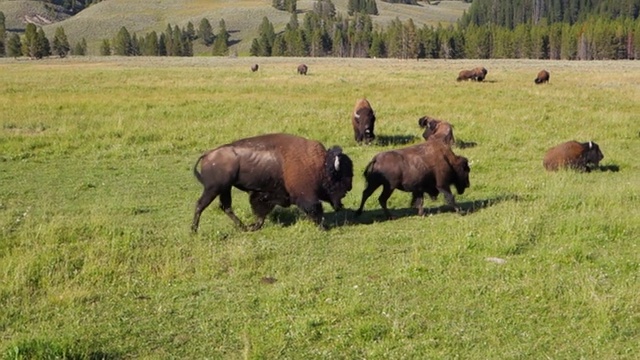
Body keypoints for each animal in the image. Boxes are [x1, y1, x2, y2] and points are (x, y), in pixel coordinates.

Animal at [191, 134, 356, 232]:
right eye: (341, 176)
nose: (350, 187)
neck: (321, 164)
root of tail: (208, 155)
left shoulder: (266, 195)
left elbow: (261, 212)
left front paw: (255, 226)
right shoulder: (305, 195)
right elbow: (315, 208)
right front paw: (324, 227)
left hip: (225, 188)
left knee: (226, 207)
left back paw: (244, 227)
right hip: (213, 188)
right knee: (201, 205)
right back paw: (194, 230)